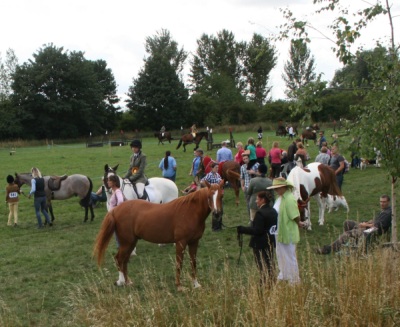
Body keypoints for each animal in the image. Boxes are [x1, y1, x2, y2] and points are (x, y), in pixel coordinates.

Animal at [94, 181, 225, 290]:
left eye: (221, 196)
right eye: (209, 196)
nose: (217, 213)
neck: (190, 211)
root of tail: (115, 210)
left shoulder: (194, 242)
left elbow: (193, 263)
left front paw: (196, 284)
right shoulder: (181, 242)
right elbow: (179, 263)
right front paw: (179, 286)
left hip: (131, 242)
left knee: (124, 261)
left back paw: (127, 282)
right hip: (127, 242)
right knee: (119, 259)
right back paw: (121, 282)